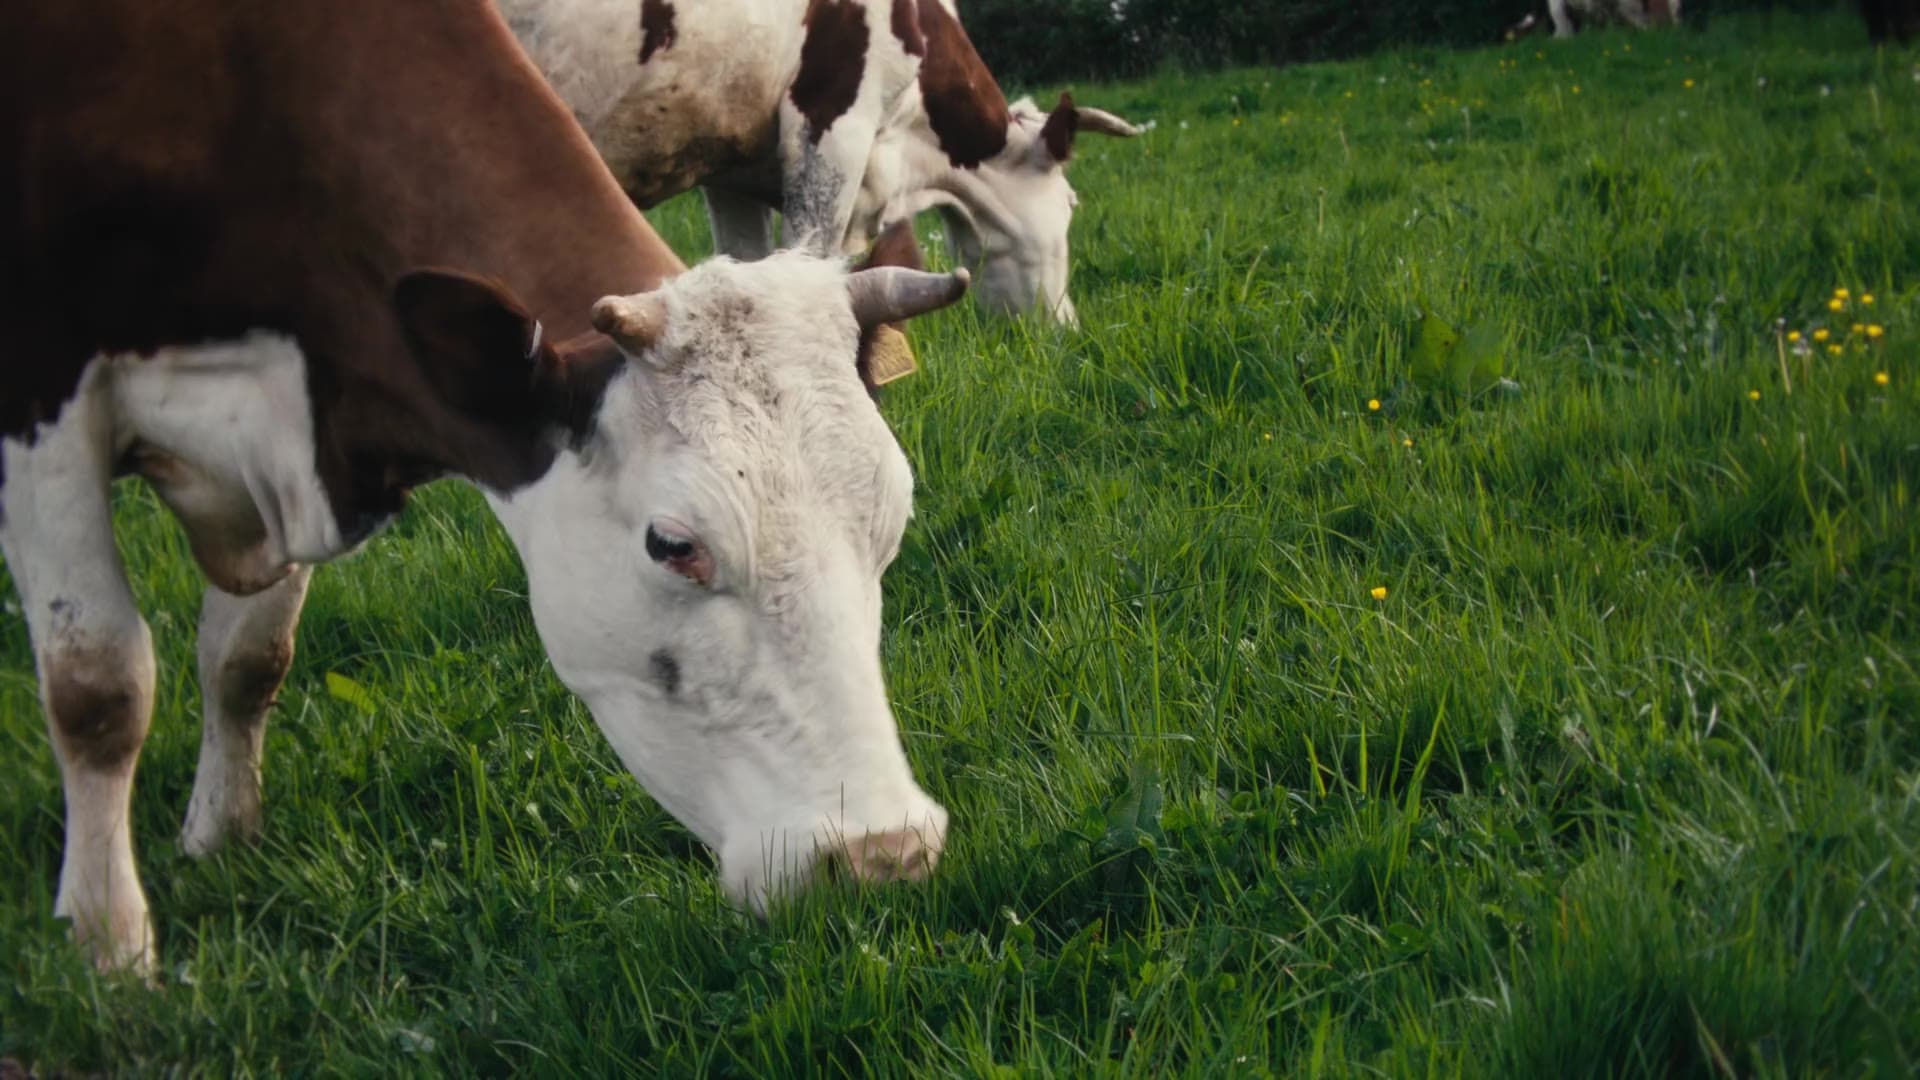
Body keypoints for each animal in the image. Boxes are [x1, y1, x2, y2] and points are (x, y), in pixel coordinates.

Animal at [1, 0, 969, 974]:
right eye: (674, 544)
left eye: (891, 524)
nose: (880, 854)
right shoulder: (41, 396)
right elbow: (99, 691)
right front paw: (107, 943)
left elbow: (247, 658)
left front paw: (221, 839)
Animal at [496, 0, 1142, 325]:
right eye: (1072, 203)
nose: (1065, 329)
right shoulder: (833, 127)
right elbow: (811, 267)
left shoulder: (726, 164)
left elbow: (745, 267)